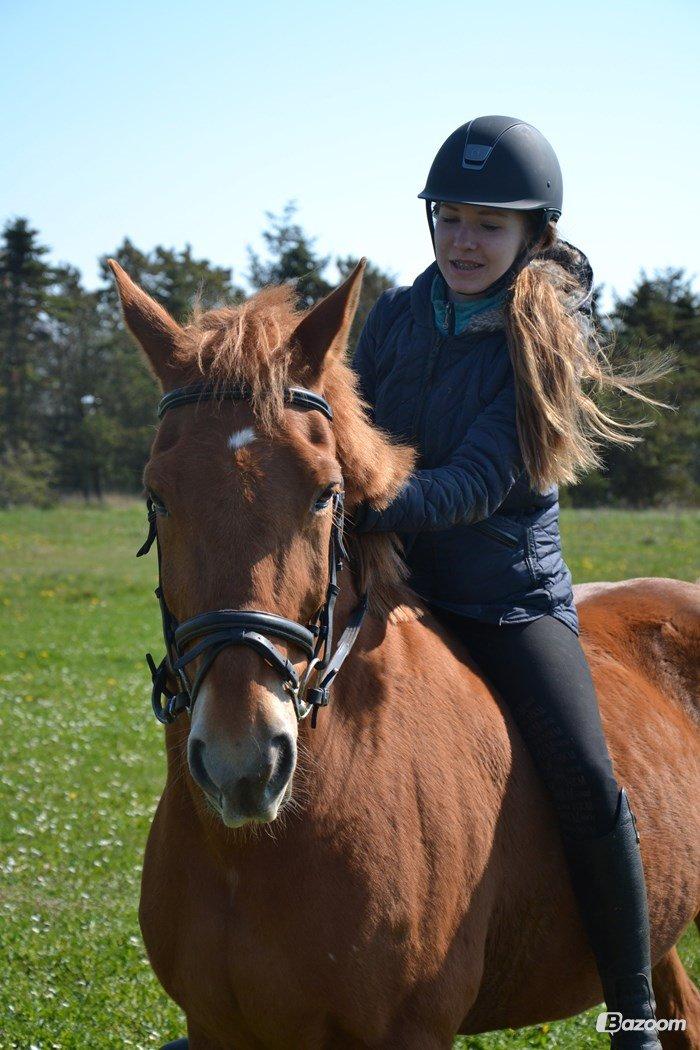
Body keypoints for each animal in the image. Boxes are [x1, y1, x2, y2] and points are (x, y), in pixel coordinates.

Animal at [109, 257, 700, 1049]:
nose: (244, 762)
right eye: (159, 496)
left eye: (325, 494)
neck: (256, 851)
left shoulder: (408, 1030)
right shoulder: (215, 1028)